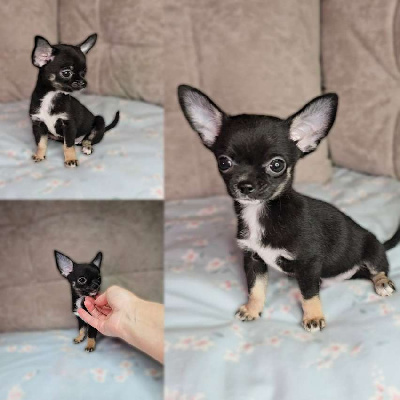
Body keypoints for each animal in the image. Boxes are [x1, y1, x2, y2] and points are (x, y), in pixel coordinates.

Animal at [30, 34, 119, 167]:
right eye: (67, 73)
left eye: (84, 72)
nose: (84, 83)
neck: (51, 96)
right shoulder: (38, 124)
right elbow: (41, 143)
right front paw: (39, 156)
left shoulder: (69, 125)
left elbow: (68, 146)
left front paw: (70, 159)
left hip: (99, 122)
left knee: (88, 139)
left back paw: (87, 147)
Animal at [177, 84, 399, 332]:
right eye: (224, 162)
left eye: (277, 165)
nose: (245, 185)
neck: (261, 212)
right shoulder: (253, 259)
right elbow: (255, 288)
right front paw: (253, 309)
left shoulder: (308, 263)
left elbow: (309, 294)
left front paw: (313, 317)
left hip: (371, 249)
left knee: (379, 268)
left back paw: (382, 282)